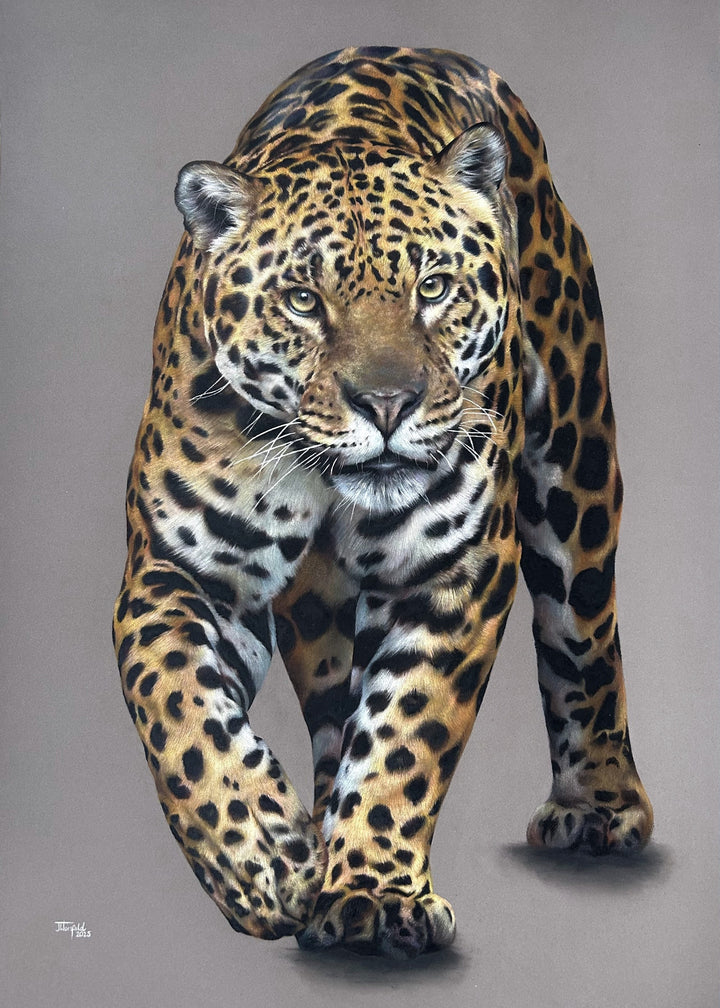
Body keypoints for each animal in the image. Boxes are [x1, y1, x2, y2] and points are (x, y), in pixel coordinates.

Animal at [113, 46, 653, 959]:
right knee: (335, 704)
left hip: (576, 470)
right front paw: (266, 860)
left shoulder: (454, 571)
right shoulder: (181, 570)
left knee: (584, 636)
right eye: (303, 301)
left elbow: (407, 734)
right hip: (317, 612)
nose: (389, 403)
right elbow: (178, 708)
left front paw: (371, 895)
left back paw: (600, 809)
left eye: (433, 288)